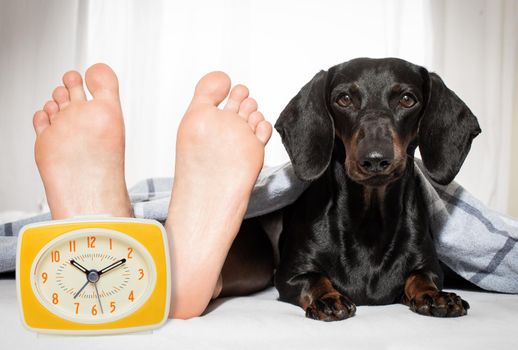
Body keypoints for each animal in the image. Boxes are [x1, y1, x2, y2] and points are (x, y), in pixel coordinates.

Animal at [274, 56, 482, 320]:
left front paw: (434, 295)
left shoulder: (430, 267)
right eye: (344, 99)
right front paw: (328, 298)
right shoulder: (290, 275)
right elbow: (314, 279)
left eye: (407, 99)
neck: (370, 221)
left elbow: (421, 277)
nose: (375, 159)